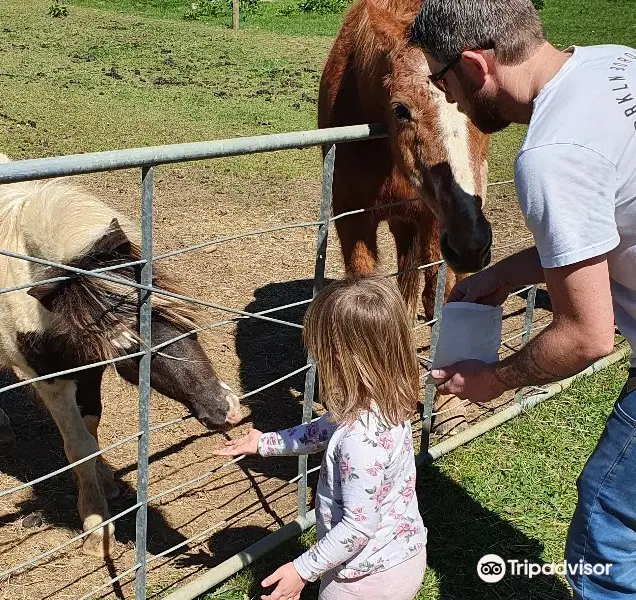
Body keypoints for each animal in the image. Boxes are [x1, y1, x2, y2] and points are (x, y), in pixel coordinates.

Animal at [0, 156, 242, 556]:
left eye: (177, 311)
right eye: (128, 345)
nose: (227, 408)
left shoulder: (89, 368)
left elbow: (92, 424)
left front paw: (106, 481)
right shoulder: (52, 381)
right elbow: (77, 444)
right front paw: (96, 526)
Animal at [320, 0, 494, 434]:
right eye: (401, 109)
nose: (472, 244)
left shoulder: (435, 224)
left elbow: (439, 302)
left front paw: (448, 410)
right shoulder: (352, 219)